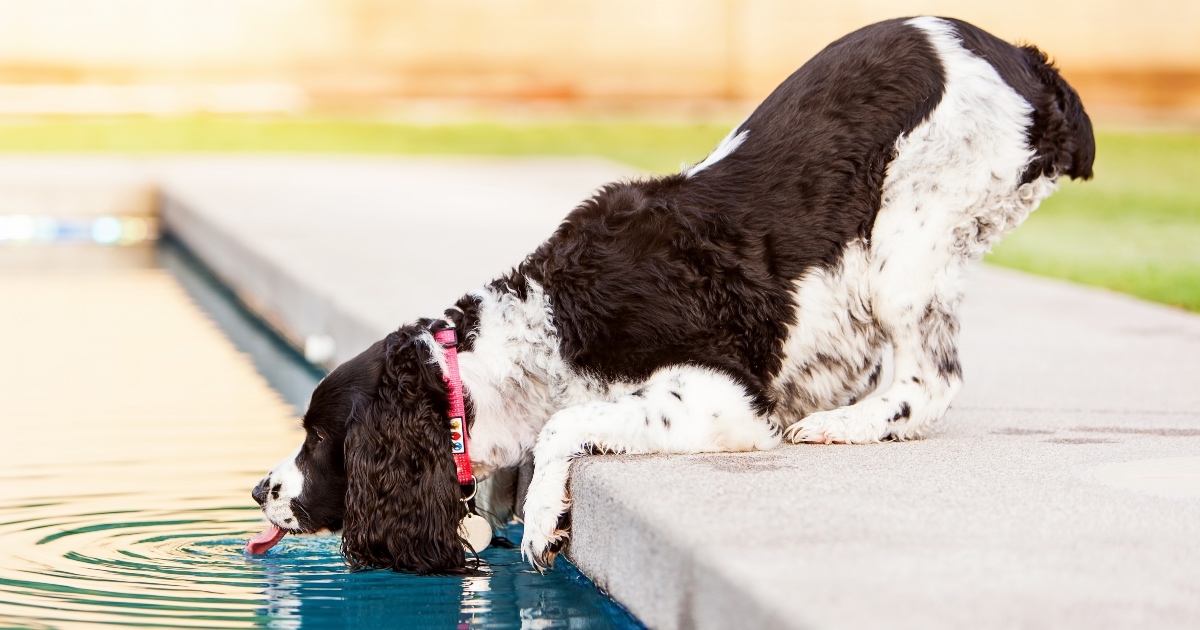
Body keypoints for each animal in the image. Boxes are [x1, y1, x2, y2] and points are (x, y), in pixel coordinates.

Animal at [248, 15, 1094, 573]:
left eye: (319, 440)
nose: (260, 487)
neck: (538, 328)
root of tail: (1026, 60)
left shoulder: (720, 399)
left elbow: (563, 428)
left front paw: (542, 520)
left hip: (907, 240)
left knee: (931, 378)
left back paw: (846, 424)